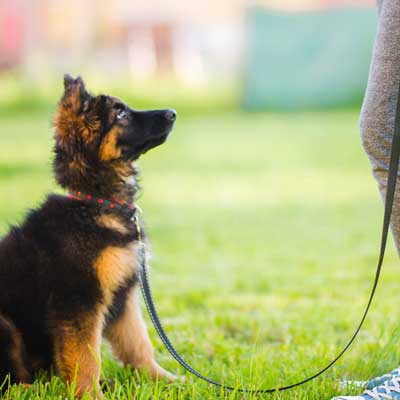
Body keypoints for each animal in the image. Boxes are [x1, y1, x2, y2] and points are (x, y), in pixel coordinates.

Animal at [0, 75, 177, 396]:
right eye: (120, 114)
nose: (172, 113)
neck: (96, 203)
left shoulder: (124, 295)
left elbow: (139, 343)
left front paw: (163, 379)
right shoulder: (78, 299)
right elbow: (85, 357)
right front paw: (90, 395)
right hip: (4, 325)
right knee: (12, 381)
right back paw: (34, 390)